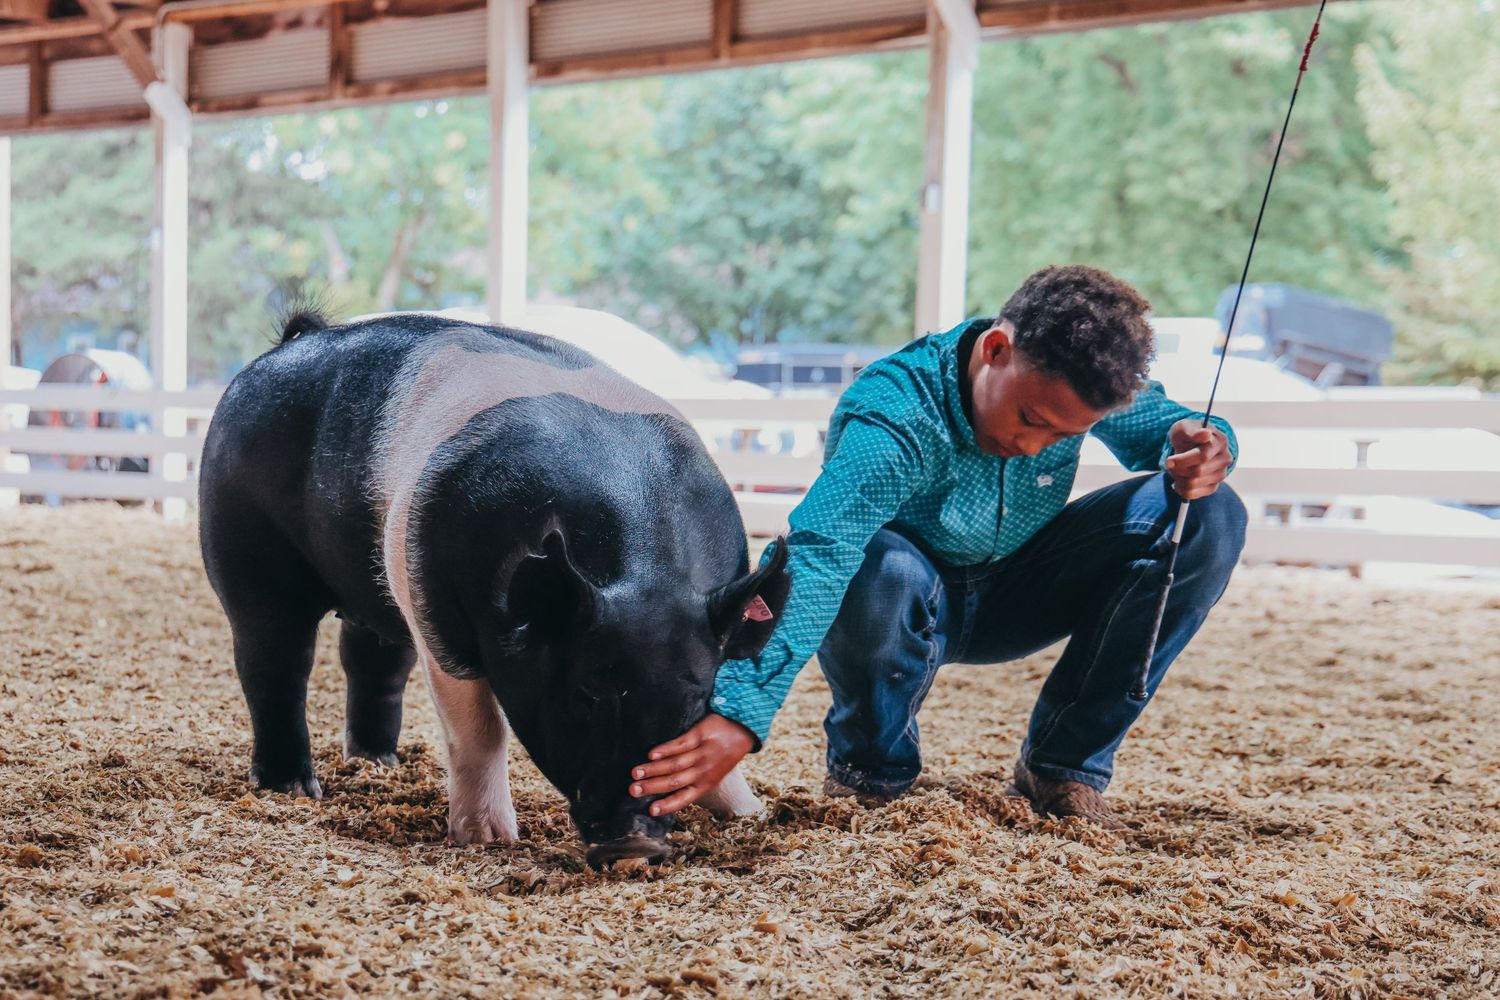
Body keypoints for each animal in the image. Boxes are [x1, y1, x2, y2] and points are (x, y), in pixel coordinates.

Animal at [198, 311, 788, 866]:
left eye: (697, 696)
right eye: (588, 693)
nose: (636, 842)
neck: (647, 575)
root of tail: (289, 343)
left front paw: (750, 813)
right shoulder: (436, 614)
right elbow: (480, 728)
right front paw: (489, 839)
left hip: (378, 585)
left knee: (372, 662)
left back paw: (378, 764)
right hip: (243, 543)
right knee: (273, 660)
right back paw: (295, 789)